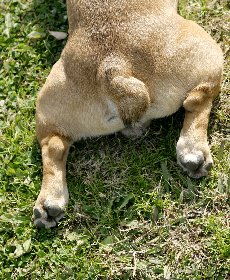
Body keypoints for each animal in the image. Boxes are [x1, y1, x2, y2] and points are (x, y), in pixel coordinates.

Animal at [33, 0, 224, 228]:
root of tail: (114, 67)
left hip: (50, 103)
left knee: (54, 144)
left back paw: (49, 201)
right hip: (206, 52)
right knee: (198, 100)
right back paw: (193, 151)